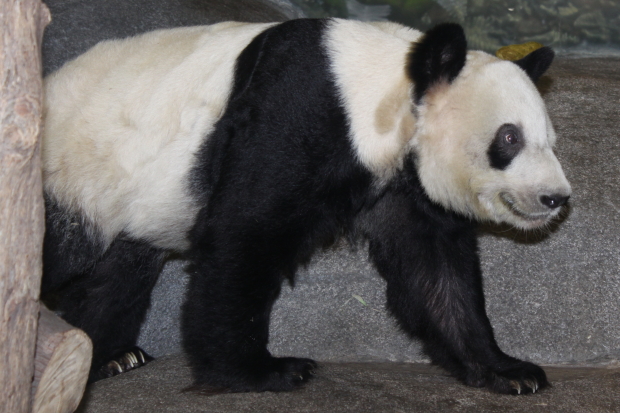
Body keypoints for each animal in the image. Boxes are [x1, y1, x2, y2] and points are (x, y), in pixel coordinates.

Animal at [40, 18, 572, 392]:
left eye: (549, 140)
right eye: (509, 138)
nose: (556, 198)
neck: (382, 90)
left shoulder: (401, 182)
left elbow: (435, 271)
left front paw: (508, 370)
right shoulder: (299, 109)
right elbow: (243, 233)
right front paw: (262, 371)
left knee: (117, 273)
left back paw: (108, 354)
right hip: (72, 174)